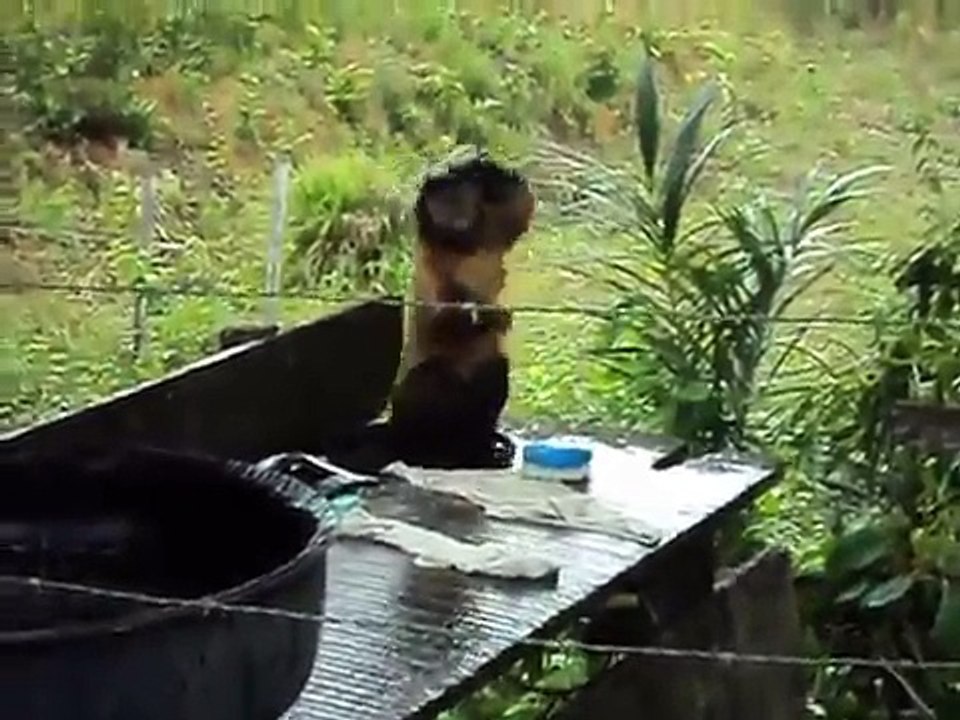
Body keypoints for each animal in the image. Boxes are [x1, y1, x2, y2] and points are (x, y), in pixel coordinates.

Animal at [386, 151, 536, 469]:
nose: (454, 213)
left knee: (493, 369)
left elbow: (520, 209)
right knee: (433, 374)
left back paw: (482, 444)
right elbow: (436, 324)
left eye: (457, 196)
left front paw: (481, 167)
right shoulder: (431, 265)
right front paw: (484, 312)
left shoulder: (490, 233)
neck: (458, 247)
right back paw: (426, 449)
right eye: (444, 201)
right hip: (408, 404)